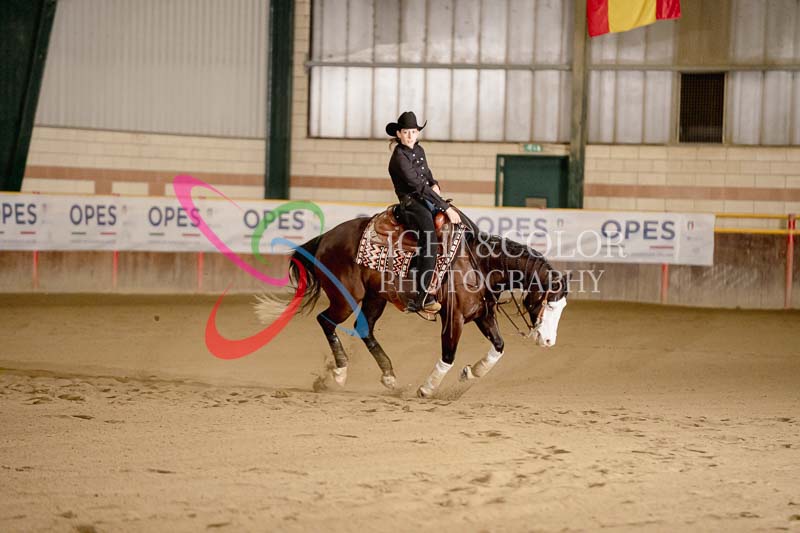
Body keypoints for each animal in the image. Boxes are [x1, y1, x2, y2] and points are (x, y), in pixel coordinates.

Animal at [281, 211, 568, 398]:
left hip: (375, 297)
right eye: (550, 306)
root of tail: (326, 237)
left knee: (364, 329)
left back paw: (389, 377)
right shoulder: (453, 317)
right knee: (326, 321)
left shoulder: (483, 314)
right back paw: (339, 373)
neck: (479, 263)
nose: (549, 341)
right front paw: (427, 388)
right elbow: (448, 355)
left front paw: (470, 372)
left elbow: (498, 347)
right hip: (345, 297)